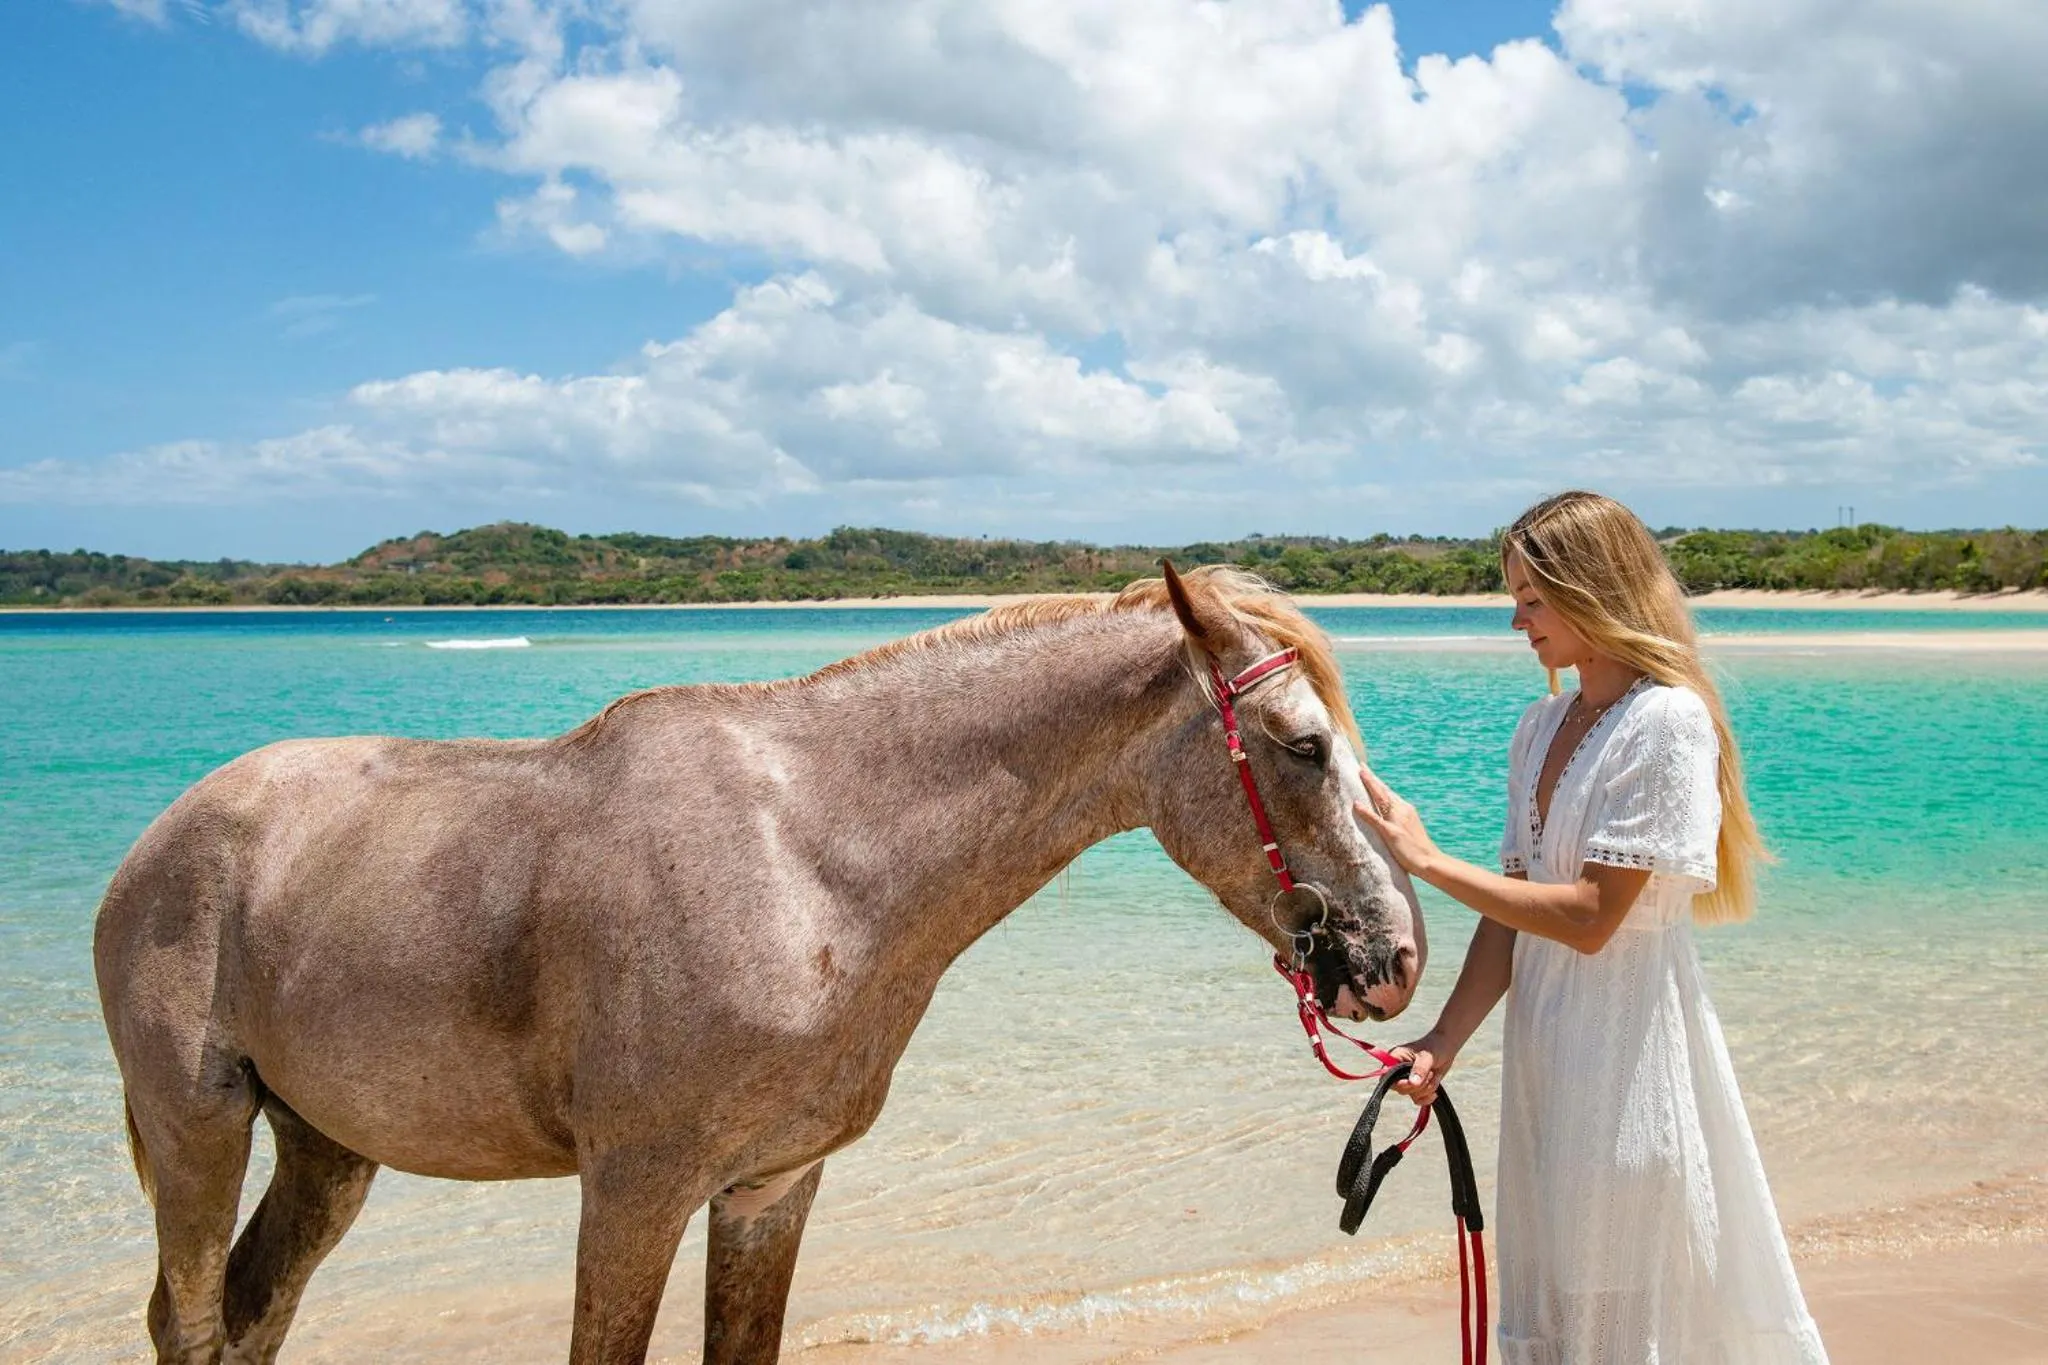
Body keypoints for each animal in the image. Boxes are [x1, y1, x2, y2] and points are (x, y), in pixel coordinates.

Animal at [94, 563, 1425, 1364]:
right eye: (1302, 747)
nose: (1395, 957)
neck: (806, 858)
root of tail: (166, 836)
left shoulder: (768, 1189)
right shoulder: (634, 1194)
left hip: (328, 1149)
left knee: (254, 1311)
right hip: (200, 1129)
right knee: (193, 1318)